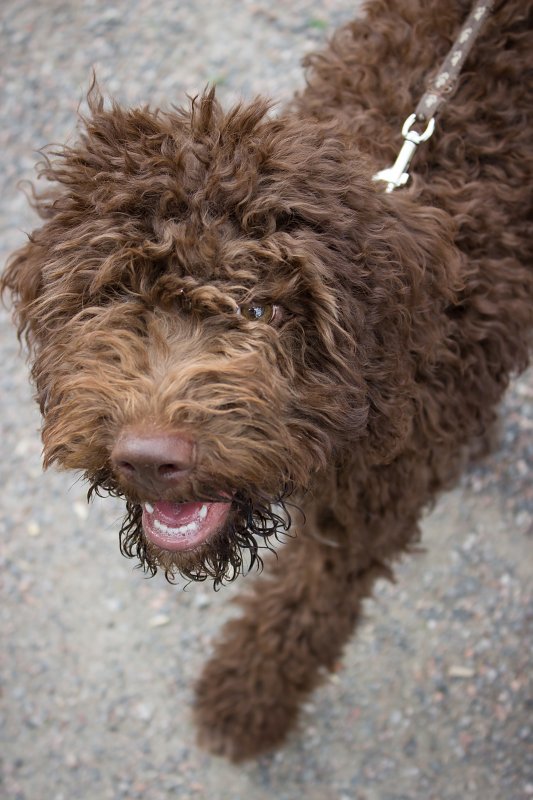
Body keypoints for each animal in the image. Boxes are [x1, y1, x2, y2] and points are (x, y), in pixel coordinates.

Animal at [1, 0, 532, 764]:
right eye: (111, 294)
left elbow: (301, 609)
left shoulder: (372, 504)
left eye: (262, 309)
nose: (148, 458)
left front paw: (243, 702)